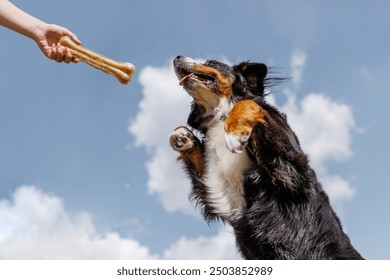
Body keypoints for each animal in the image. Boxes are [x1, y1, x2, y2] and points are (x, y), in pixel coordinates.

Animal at [169, 55, 364, 260]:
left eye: (212, 63)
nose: (177, 57)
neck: (220, 115)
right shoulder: (225, 192)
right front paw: (183, 136)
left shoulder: (287, 167)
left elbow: (248, 102)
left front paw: (235, 133)